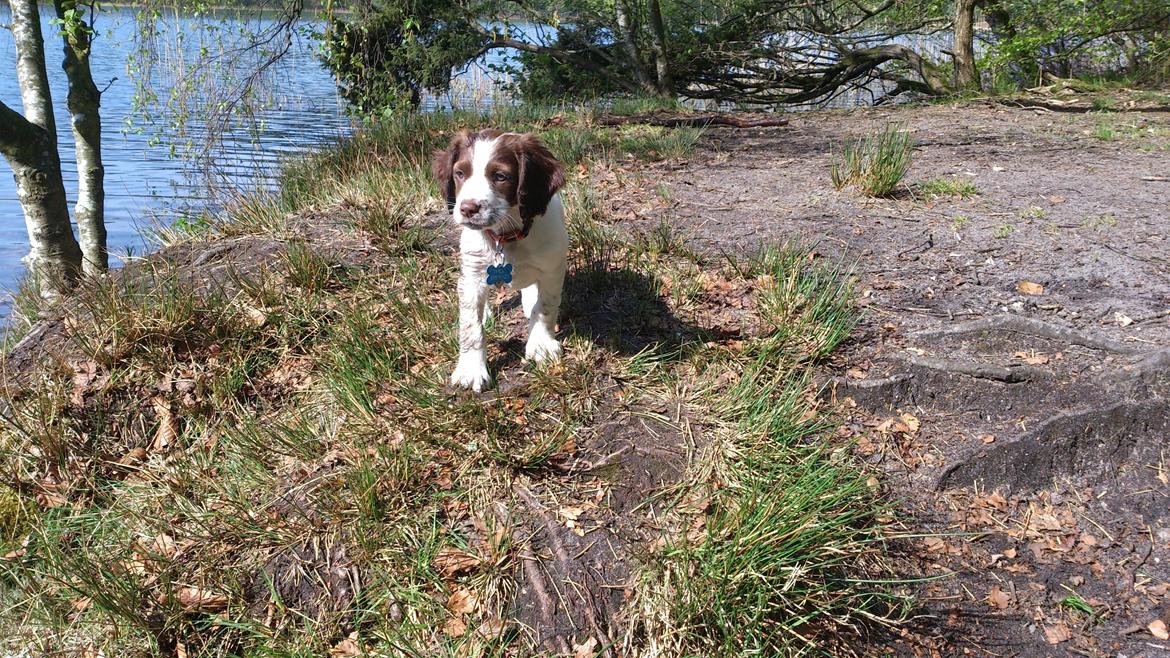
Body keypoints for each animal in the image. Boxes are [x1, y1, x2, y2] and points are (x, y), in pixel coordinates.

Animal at [435, 130, 570, 391]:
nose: (467, 208)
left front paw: (541, 345)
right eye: (460, 173)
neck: (507, 236)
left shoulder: (552, 268)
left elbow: (545, 307)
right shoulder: (472, 274)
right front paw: (471, 370)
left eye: (500, 176)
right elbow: (470, 326)